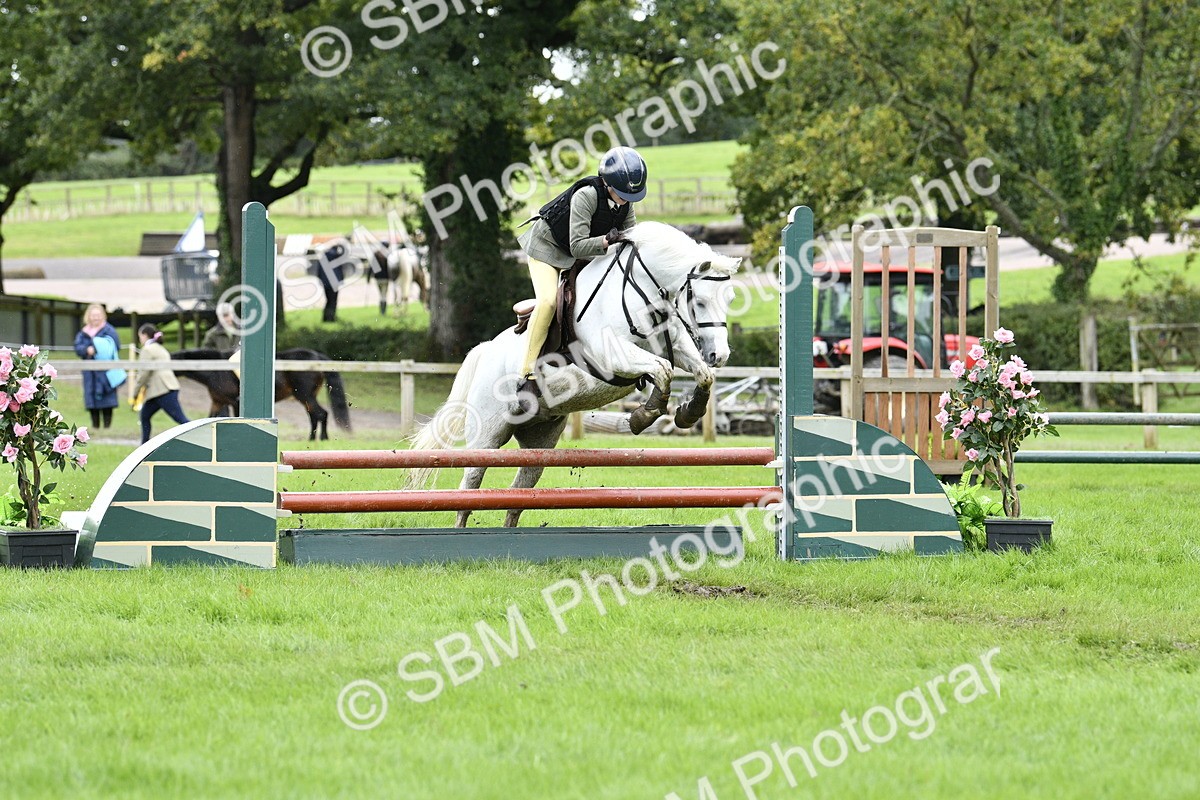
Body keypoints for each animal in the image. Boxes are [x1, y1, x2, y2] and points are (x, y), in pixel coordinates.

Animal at [171, 348, 352, 440]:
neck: (215, 370)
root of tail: (317, 356)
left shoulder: (235, 402)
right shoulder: (218, 402)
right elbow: (210, 418)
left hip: (304, 395)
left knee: (321, 414)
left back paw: (322, 439)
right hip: (307, 397)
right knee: (314, 415)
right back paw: (312, 439)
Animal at [407, 221, 741, 528]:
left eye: (730, 299)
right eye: (699, 301)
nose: (720, 355)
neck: (642, 288)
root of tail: (486, 350)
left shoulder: (676, 346)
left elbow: (701, 374)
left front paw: (688, 412)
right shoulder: (613, 355)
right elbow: (663, 370)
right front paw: (643, 416)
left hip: (540, 440)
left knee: (520, 491)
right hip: (487, 435)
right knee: (470, 484)